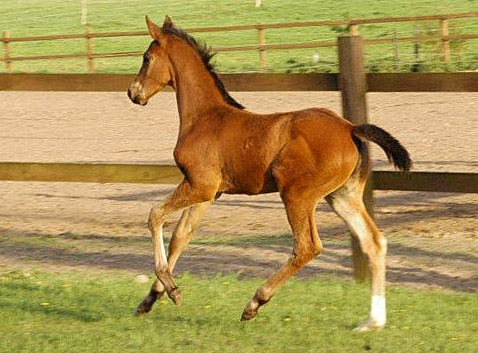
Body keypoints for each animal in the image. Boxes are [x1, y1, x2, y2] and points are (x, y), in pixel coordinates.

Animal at [127, 15, 410, 330]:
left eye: (146, 57)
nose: (133, 92)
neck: (205, 117)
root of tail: (350, 128)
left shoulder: (199, 185)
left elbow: (155, 215)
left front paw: (171, 288)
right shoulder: (209, 193)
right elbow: (181, 235)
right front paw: (150, 300)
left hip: (297, 194)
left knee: (307, 246)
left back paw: (255, 303)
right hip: (341, 196)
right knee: (374, 242)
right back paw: (373, 321)